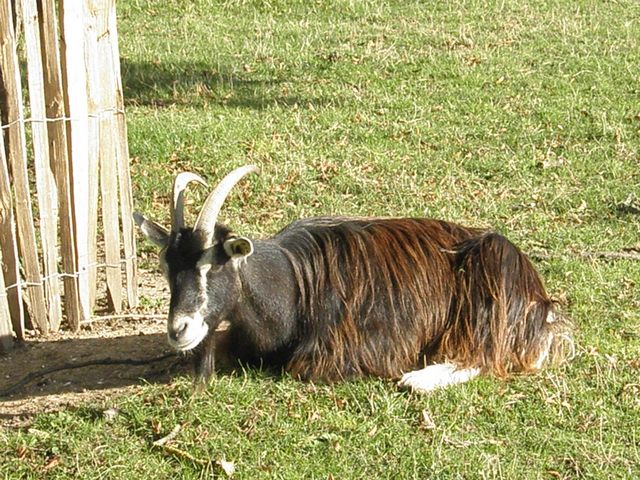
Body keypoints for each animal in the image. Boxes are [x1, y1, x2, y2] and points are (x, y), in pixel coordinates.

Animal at [135, 163, 568, 392]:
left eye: (214, 264)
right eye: (166, 268)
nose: (179, 330)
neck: (294, 285)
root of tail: (539, 297)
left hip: (488, 285)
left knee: (485, 356)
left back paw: (419, 377)